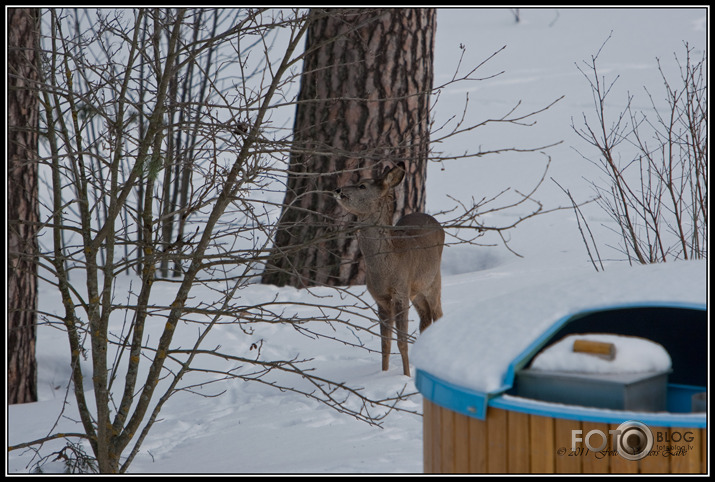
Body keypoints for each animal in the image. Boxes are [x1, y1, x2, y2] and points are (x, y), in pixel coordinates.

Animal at [334, 162, 444, 376]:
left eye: (362, 185)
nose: (338, 190)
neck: (386, 267)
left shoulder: (400, 290)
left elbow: (401, 342)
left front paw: (406, 375)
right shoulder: (381, 298)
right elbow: (385, 343)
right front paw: (383, 373)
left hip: (433, 281)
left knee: (438, 314)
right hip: (416, 292)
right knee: (426, 318)